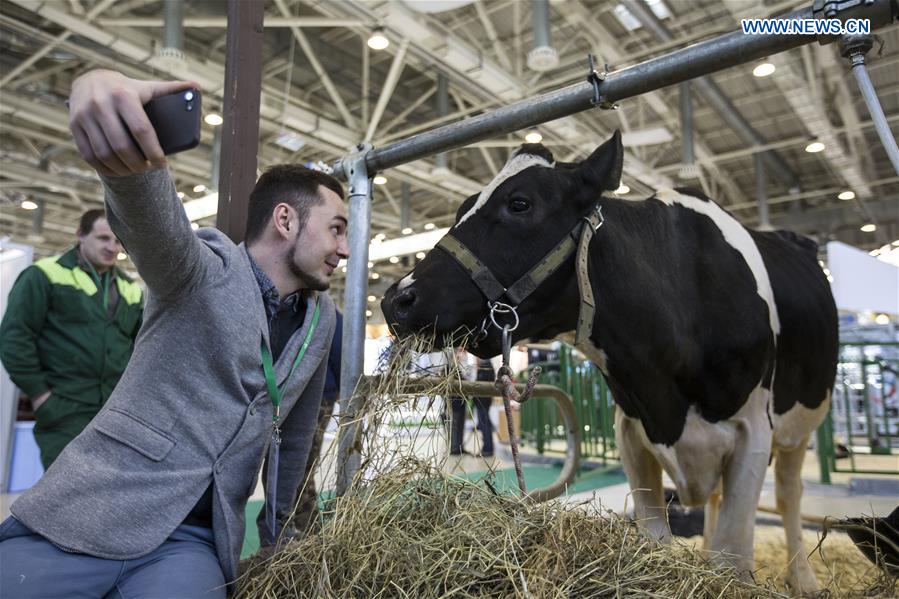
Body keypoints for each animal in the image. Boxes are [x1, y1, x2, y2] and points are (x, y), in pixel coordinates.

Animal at [384, 131, 840, 592]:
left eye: (520, 203)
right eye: (463, 207)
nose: (396, 299)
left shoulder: (753, 430)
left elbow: (732, 558)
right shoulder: (631, 427)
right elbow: (657, 537)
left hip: (800, 427)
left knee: (788, 495)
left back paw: (804, 579)